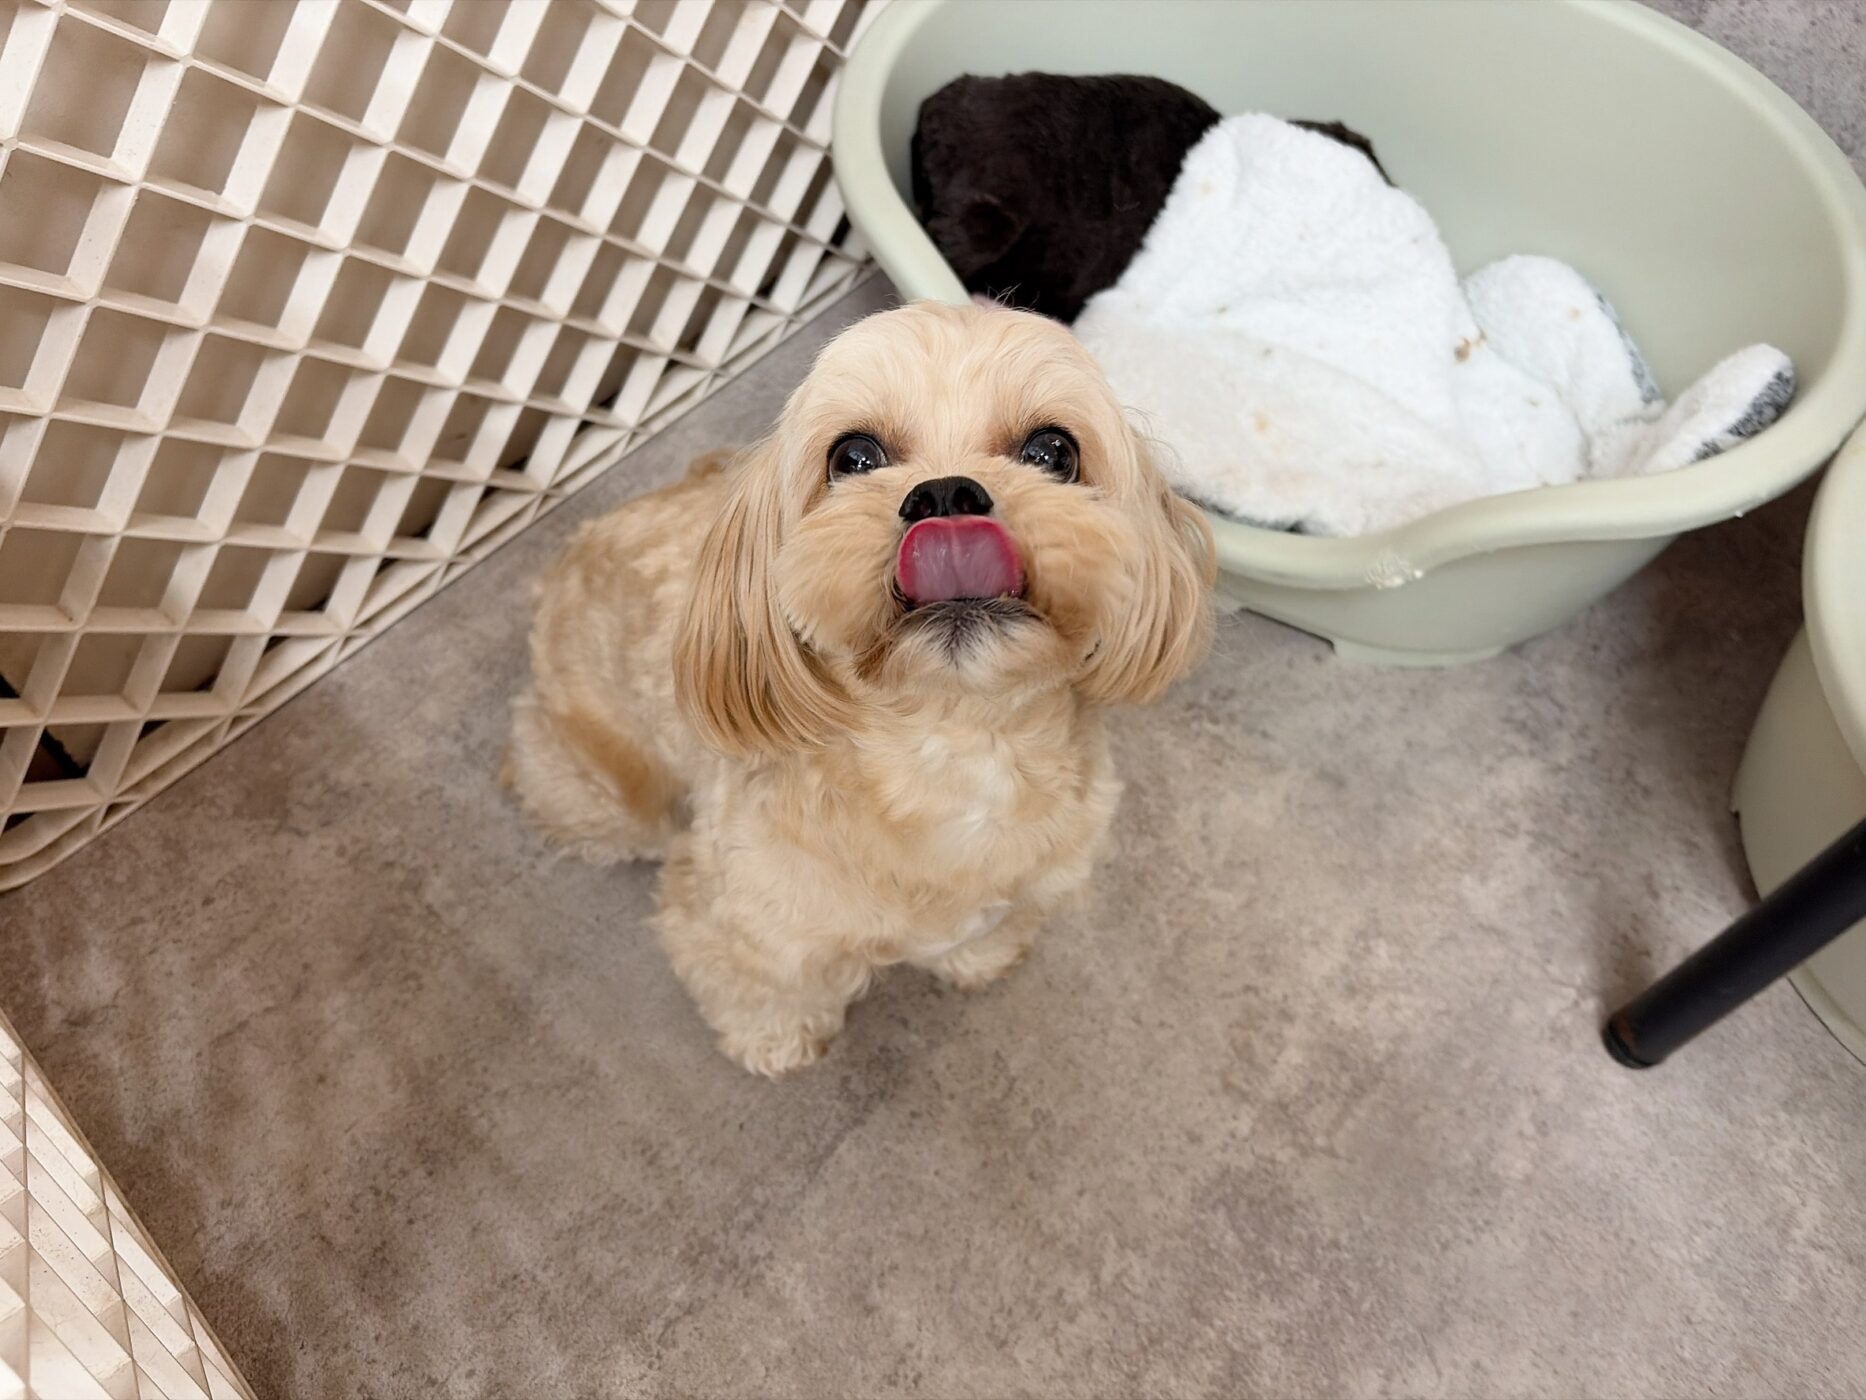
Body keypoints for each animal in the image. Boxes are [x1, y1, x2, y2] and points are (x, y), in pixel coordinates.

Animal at [505, 302, 1215, 1075]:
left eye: (1053, 450)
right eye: (853, 458)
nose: (947, 493)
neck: (952, 748)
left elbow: (988, 929)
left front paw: (979, 959)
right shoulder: (742, 925)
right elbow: (756, 984)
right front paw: (775, 1042)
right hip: (606, 789)